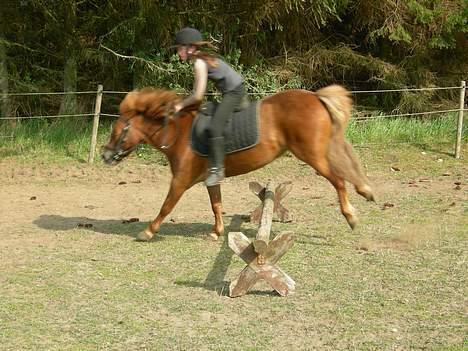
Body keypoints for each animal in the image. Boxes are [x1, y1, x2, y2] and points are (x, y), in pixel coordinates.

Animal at [101, 85, 372, 242]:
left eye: (117, 131)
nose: (105, 156)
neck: (180, 133)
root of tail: (315, 96)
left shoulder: (180, 181)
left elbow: (166, 206)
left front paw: (148, 231)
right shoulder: (210, 179)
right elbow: (216, 204)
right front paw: (216, 232)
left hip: (312, 155)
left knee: (338, 180)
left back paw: (351, 216)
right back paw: (365, 193)